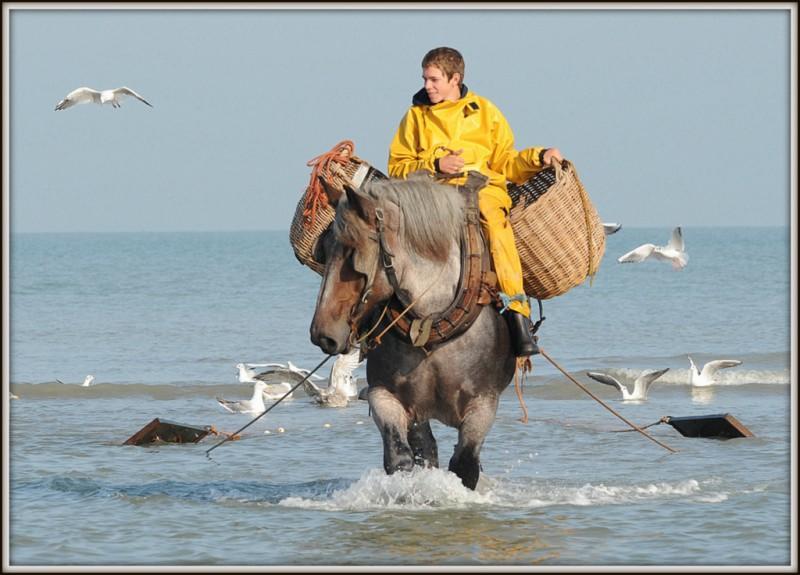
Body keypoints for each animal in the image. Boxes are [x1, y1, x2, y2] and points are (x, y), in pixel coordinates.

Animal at [310, 172, 516, 490]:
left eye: (352, 252)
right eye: (324, 249)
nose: (323, 333)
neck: (431, 326)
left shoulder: (483, 405)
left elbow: (465, 465)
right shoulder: (385, 397)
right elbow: (400, 458)